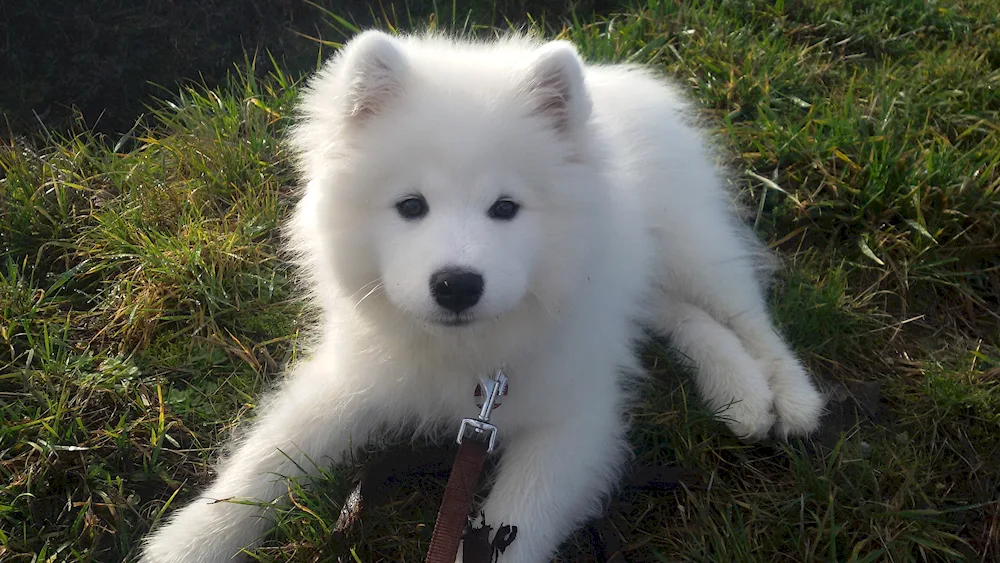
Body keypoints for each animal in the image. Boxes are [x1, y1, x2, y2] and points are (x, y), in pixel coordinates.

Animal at [143, 29, 828, 563]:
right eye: (410, 205)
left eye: (505, 208)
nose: (456, 284)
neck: (468, 355)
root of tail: (626, 79)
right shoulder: (351, 378)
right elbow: (266, 460)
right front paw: (188, 541)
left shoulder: (571, 423)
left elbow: (516, 523)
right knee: (679, 315)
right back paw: (740, 394)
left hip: (692, 246)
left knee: (749, 317)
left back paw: (787, 398)